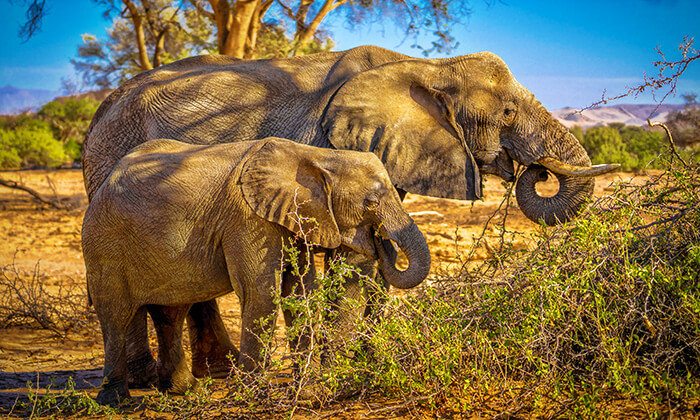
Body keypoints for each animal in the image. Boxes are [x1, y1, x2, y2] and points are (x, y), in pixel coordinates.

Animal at [82, 138, 432, 406]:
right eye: (371, 202)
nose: (379, 240)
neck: (313, 155)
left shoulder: (290, 217)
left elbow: (300, 293)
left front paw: (309, 391)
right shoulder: (248, 219)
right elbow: (262, 292)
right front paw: (249, 395)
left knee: (171, 312)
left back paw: (186, 390)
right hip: (104, 245)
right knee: (116, 315)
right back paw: (117, 401)